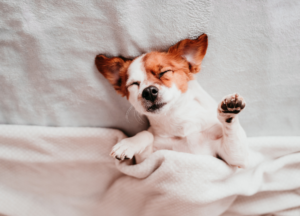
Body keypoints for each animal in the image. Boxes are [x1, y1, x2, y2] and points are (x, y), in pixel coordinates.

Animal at [95, 34, 248, 169]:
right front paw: (128, 144)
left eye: (164, 72)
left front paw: (229, 111)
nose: (148, 91)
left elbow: (233, 137)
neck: (178, 121)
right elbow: (147, 134)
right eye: (134, 84)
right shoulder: (145, 162)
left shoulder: (235, 159)